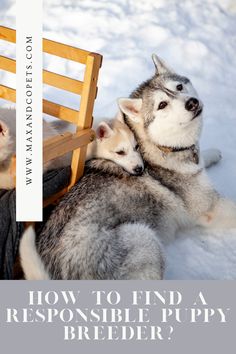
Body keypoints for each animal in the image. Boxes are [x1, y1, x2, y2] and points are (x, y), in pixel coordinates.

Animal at [20, 54, 232, 280]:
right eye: (162, 104)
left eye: (179, 87)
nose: (192, 103)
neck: (161, 146)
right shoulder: (210, 207)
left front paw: (212, 154)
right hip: (146, 239)